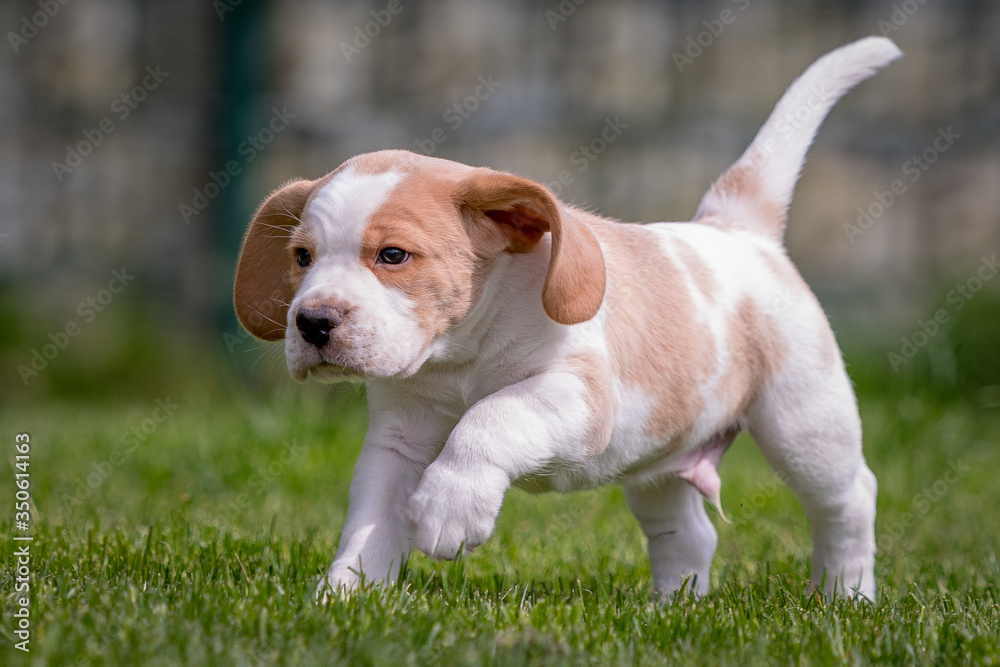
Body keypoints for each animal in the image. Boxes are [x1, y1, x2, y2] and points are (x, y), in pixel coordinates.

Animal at [236, 37, 908, 600]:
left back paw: (845, 596)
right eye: (302, 258)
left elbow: (489, 419)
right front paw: (343, 598)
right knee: (689, 533)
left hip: (804, 424)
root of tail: (737, 229)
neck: (460, 354)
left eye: (393, 256)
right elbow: (369, 524)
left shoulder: (577, 396)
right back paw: (673, 609)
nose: (312, 322)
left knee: (850, 501)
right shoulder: (397, 443)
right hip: (658, 462)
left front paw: (451, 508)